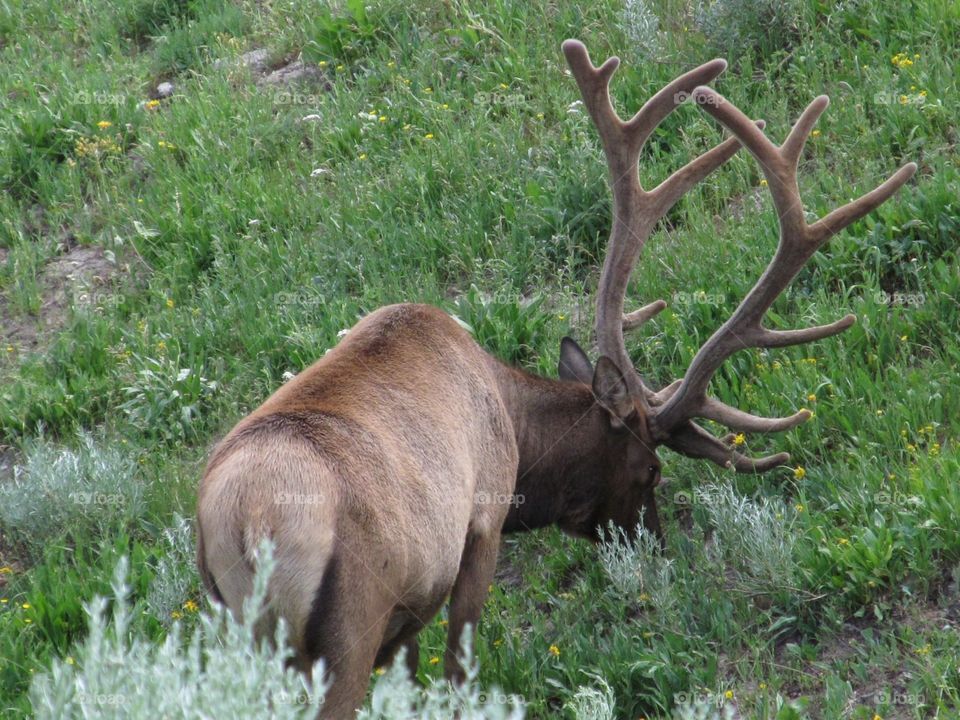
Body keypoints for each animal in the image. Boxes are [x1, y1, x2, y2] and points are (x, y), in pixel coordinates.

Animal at [196, 39, 916, 718]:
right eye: (650, 470)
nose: (656, 546)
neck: (517, 429)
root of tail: (241, 524)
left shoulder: (407, 617)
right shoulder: (480, 522)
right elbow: (459, 670)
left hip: (242, 639)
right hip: (346, 628)